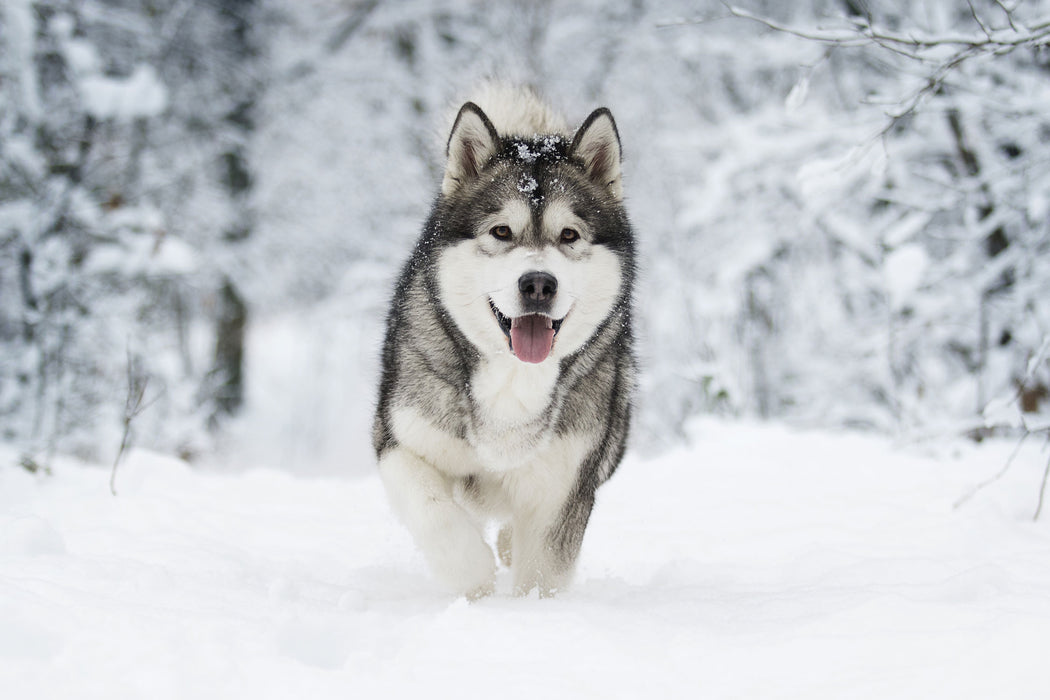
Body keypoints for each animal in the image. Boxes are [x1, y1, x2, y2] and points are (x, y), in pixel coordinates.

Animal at [375, 85, 634, 600]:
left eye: (569, 235)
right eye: (501, 231)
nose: (538, 284)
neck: (514, 379)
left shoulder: (565, 484)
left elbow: (545, 571)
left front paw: (528, 610)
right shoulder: (400, 439)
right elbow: (433, 510)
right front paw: (473, 577)